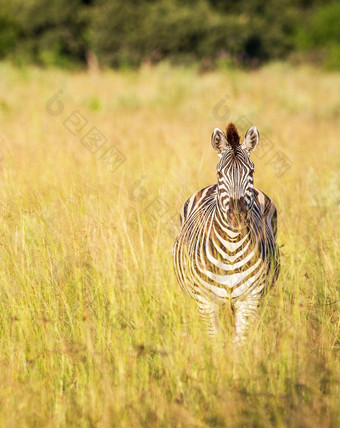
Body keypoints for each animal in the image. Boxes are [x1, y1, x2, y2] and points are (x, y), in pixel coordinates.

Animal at [174, 123, 280, 344]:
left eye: (251, 171)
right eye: (220, 173)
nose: (237, 217)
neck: (231, 247)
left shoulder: (249, 300)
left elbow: (240, 344)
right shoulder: (206, 302)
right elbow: (214, 342)